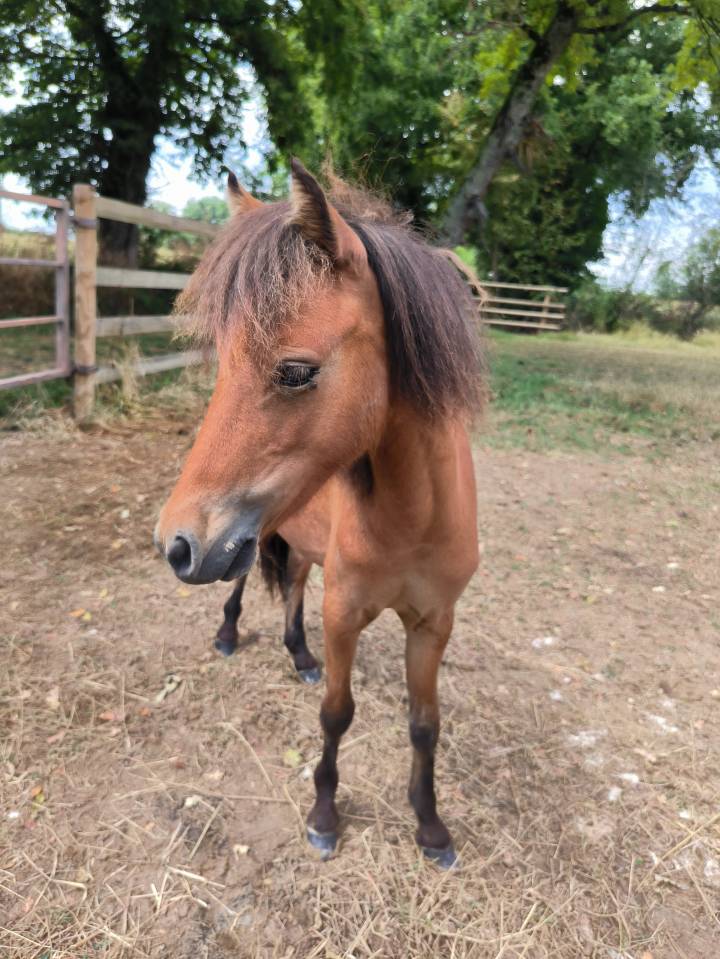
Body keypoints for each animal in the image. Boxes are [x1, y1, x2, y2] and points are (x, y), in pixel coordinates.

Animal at [155, 160, 483, 867]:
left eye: (296, 371)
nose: (175, 543)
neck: (412, 520)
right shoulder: (345, 612)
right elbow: (337, 712)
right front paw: (325, 816)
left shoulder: (433, 623)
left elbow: (425, 724)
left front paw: (431, 828)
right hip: (253, 541)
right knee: (247, 585)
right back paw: (229, 636)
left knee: (293, 584)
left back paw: (299, 656)